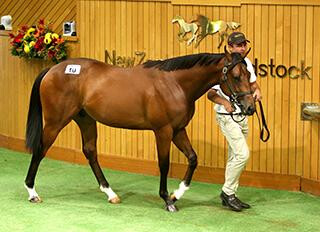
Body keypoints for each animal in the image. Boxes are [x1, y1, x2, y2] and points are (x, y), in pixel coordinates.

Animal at [24, 47, 255, 212]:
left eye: (249, 75)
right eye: (236, 76)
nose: (250, 107)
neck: (174, 84)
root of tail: (52, 69)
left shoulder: (178, 130)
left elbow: (193, 158)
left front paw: (176, 194)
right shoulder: (163, 131)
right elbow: (164, 164)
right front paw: (167, 199)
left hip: (86, 120)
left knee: (90, 152)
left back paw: (110, 193)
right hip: (55, 122)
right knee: (40, 150)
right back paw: (32, 192)